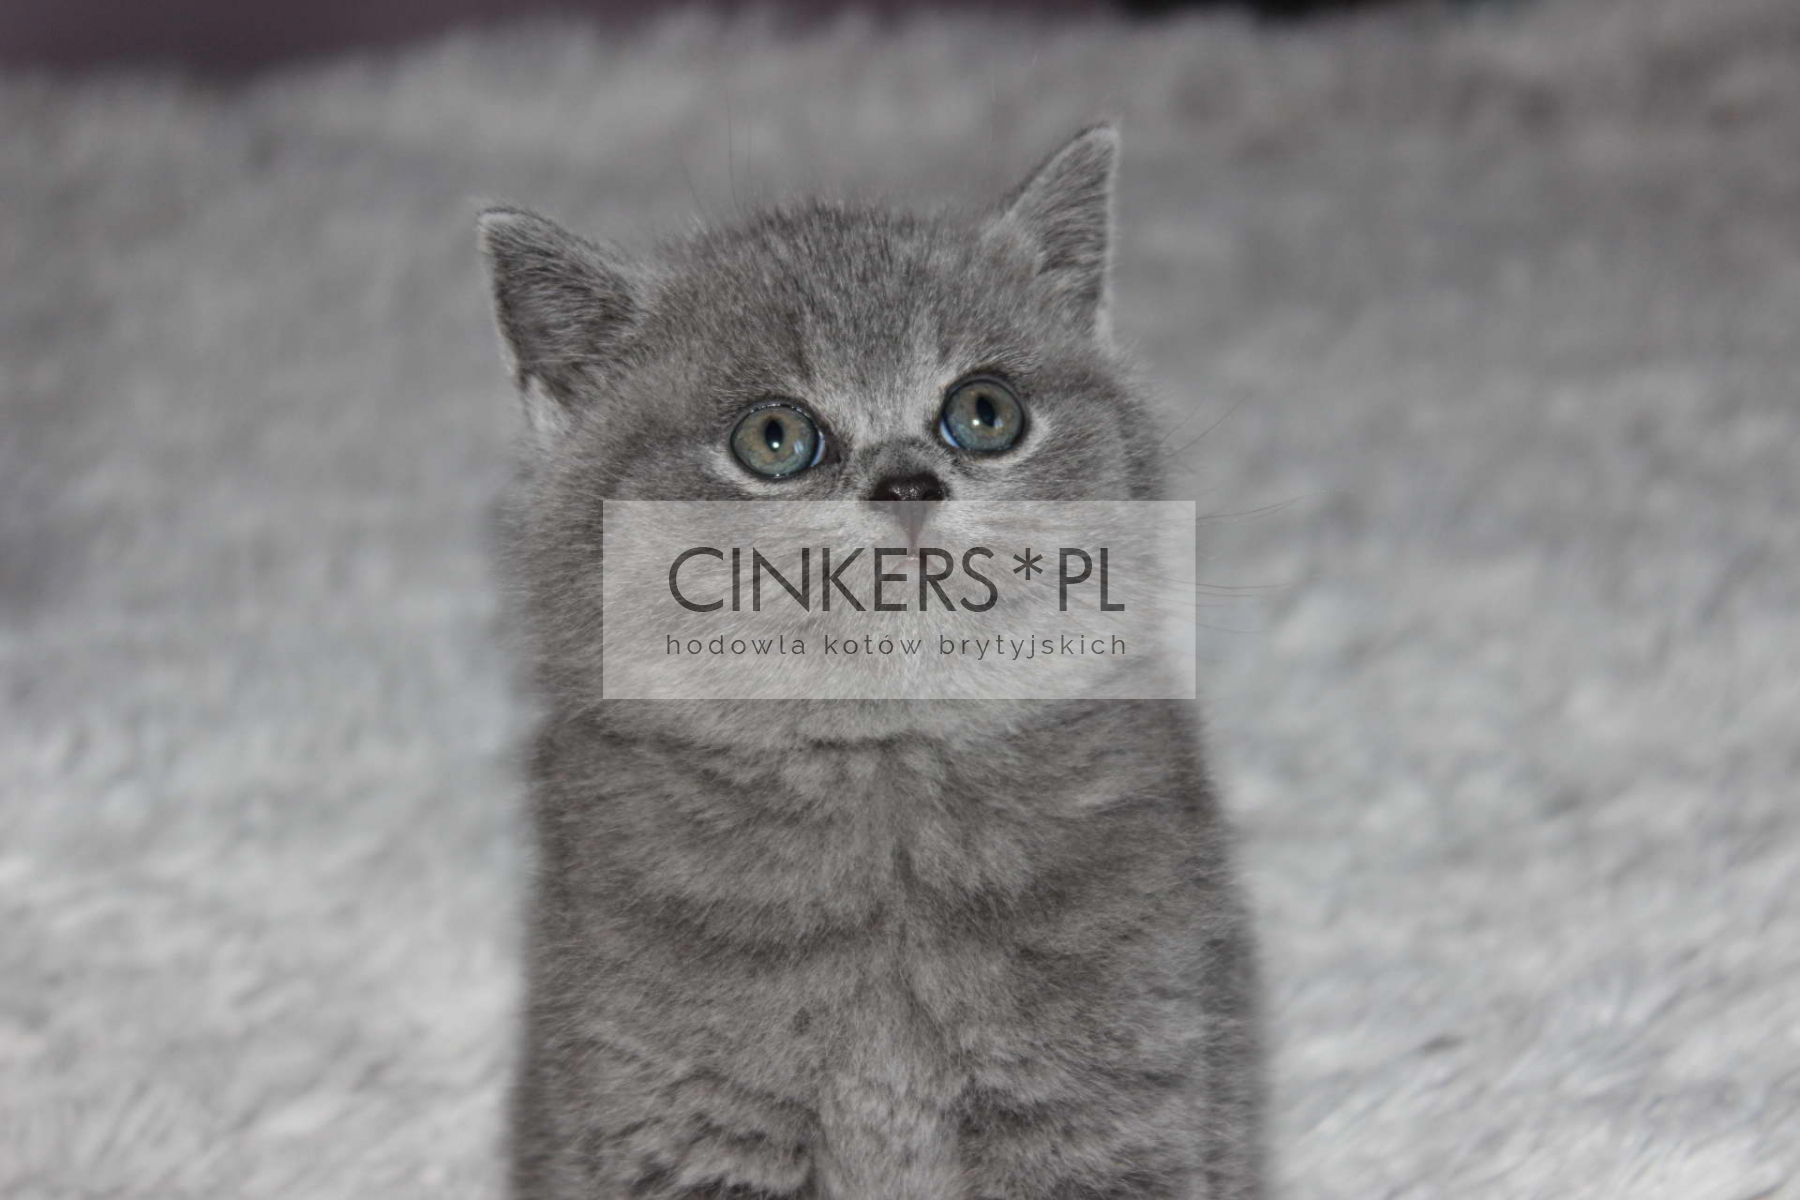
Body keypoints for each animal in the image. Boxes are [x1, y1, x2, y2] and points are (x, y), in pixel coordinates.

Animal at [478, 125, 1265, 1199]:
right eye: (774, 437)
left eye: (984, 412)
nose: (907, 484)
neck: (887, 790)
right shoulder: (674, 1111)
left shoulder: (1116, 1095)